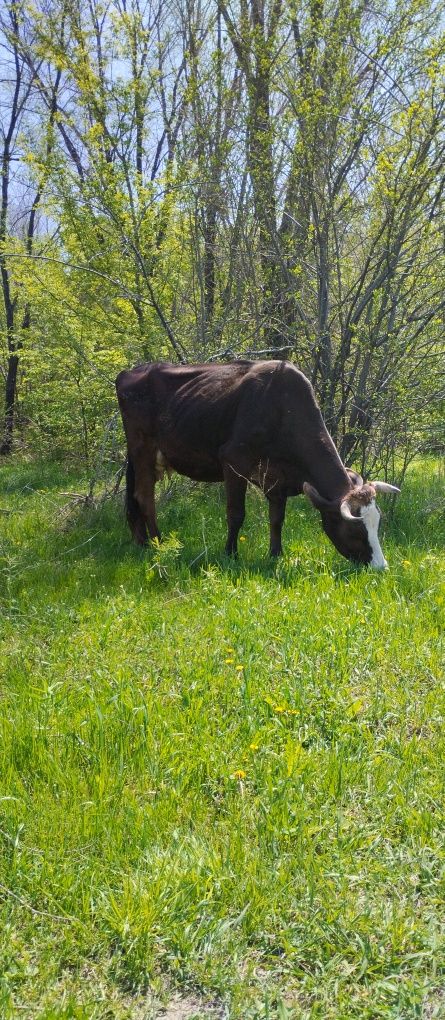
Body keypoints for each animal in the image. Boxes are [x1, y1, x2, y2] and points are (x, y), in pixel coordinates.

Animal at [114, 359, 400, 567]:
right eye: (356, 530)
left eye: (377, 524)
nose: (381, 567)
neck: (281, 409)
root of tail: (132, 371)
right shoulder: (233, 461)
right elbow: (236, 514)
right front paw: (231, 554)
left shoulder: (278, 479)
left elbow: (277, 519)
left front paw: (276, 554)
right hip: (142, 451)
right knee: (145, 498)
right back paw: (157, 543)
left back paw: (141, 541)